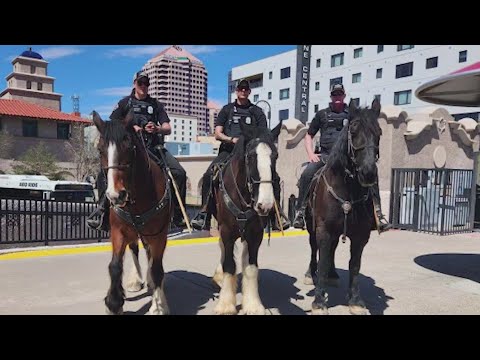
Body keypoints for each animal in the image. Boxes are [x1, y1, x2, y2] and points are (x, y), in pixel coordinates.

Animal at [91, 111, 172, 314]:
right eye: (100, 150)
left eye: (129, 147)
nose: (116, 195)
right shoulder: (118, 231)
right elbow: (115, 266)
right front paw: (113, 303)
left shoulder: (159, 234)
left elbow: (157, 269)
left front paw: (158, 307)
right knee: (135, 250)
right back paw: (136, 281)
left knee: (151, 259)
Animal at [209, 121, 278, 316]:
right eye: (251, 157)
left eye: (275, 156)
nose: (265, 205)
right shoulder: (226, 231)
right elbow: (229, 265)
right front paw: (225, 305)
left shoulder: (256, 234)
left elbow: (251, 267)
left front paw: (253, 305)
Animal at [308, 98, 382, 316]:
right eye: (354, 131)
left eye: (379, 132)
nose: (368, 173)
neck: (348, 191)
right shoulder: (323, 230)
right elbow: (322, 260)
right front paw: (319, 301)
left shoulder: (360, 236)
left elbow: (354, 265)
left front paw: (355, 300)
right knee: (314, 249)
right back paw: (311, 274)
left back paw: (332, 275)